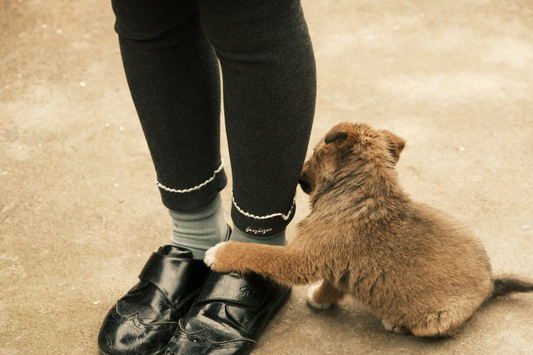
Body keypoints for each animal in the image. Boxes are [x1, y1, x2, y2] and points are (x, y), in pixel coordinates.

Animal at [204, 121, 532, 336]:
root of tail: (491, 285)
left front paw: (221, 253)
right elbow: (334, 282)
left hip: (434, 321)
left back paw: (396, 323)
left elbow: (259, 253)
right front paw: (321, 298)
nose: (299, 178)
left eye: (315, 153)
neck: (361, 194)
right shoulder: (333, 261)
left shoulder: (301, 258)